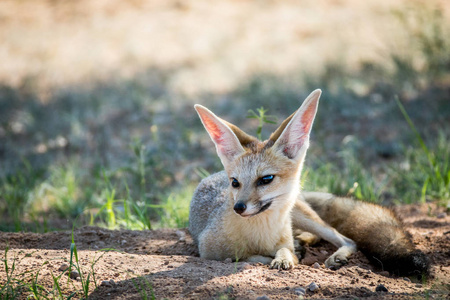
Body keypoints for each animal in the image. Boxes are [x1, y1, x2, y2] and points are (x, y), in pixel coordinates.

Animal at [188, 89, 430, 276]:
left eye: (266, 179)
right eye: (235, 182)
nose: (238, 207)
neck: (261, 234)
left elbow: (282, 252)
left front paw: (285, 257)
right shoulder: (208, 252)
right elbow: (247, 257)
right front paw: (279, 256)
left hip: (306, 216)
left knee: (347, 240)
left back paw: (330, 253)